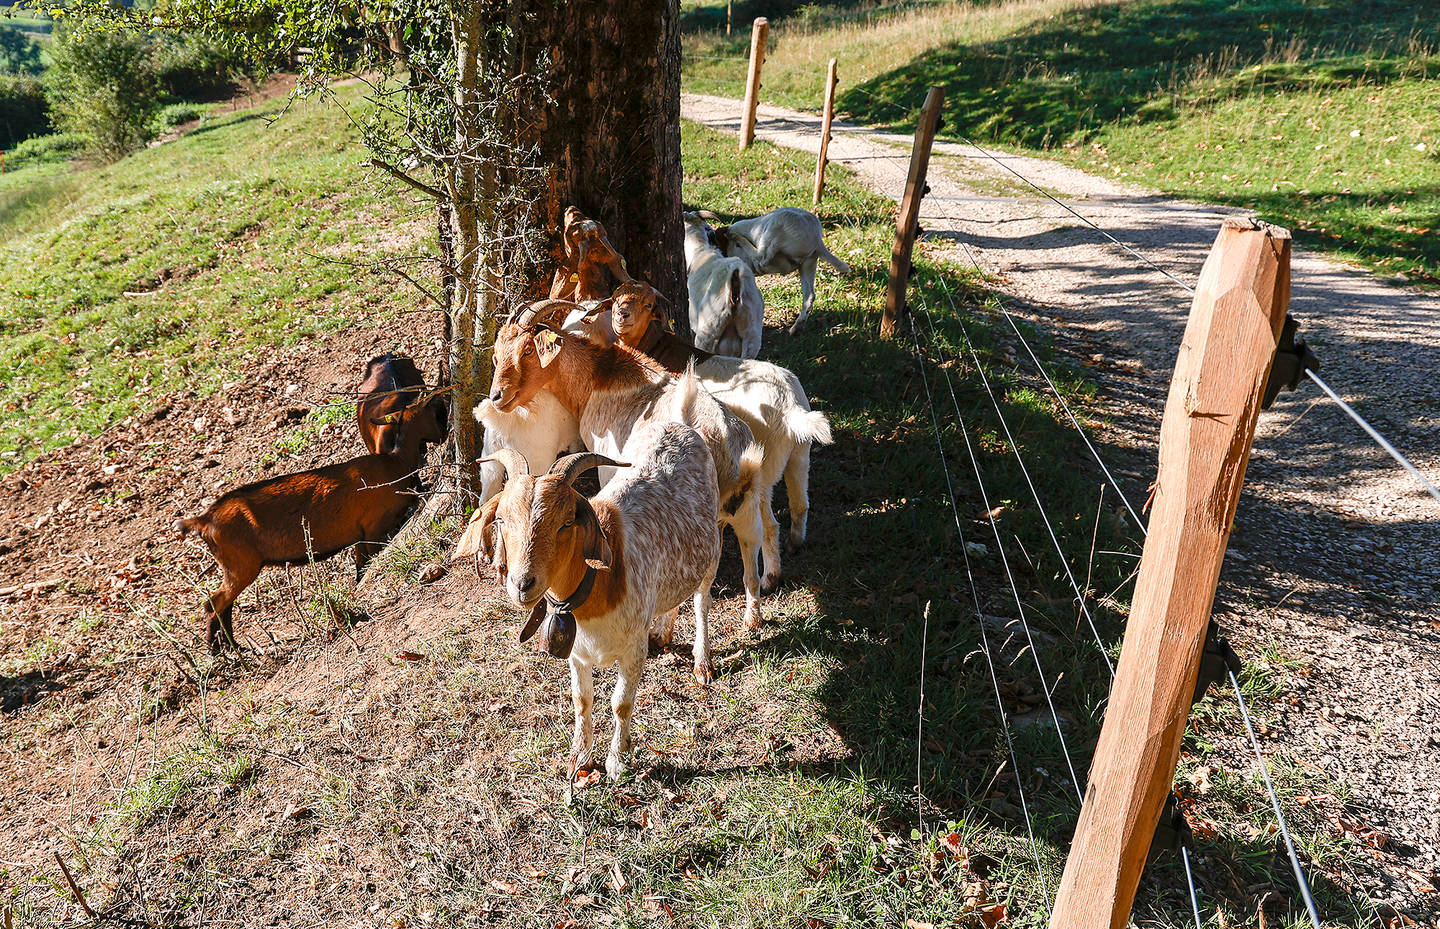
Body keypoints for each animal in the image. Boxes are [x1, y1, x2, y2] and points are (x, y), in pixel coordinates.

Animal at [176, 417, 432, 648]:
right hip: (240, 566)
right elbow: (367, 565)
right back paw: (220, 651)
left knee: (222, 604)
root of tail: (204, 520)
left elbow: (361, 570)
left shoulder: (361, 536)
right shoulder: (374, 529)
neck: (395, 462)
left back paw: (231, 647)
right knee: (214, 602)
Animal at [455, 426, 720, 783]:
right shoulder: (577, 652)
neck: (599, 584)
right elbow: (582, 700)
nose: (523, 584)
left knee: (702, 601)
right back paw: (663, 632)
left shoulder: (633, 648)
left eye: (567, 522)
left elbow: (621, 703)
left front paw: (617, 762)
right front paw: (579, 759)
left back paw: (702, 664)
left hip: (712, 547)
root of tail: (679, 427)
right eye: (501, 521)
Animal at [694, 205, 846, 332]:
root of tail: (816, 239)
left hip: (774, 231)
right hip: (809, 263)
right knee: (809, 296)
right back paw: (795, 328)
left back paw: (736, 237)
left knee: (761, 258)